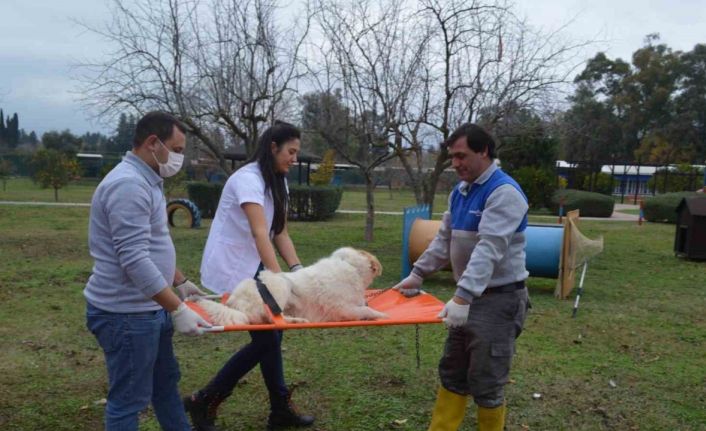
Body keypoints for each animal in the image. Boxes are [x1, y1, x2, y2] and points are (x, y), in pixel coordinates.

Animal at [195, 248, 388, 326]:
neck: (350, 266)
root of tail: (233, 302)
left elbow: (364, 307)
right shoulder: (343, 309)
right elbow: (366, 310)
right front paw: (380, 315)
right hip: (282, 284)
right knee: (273, 317)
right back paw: (297, 321)